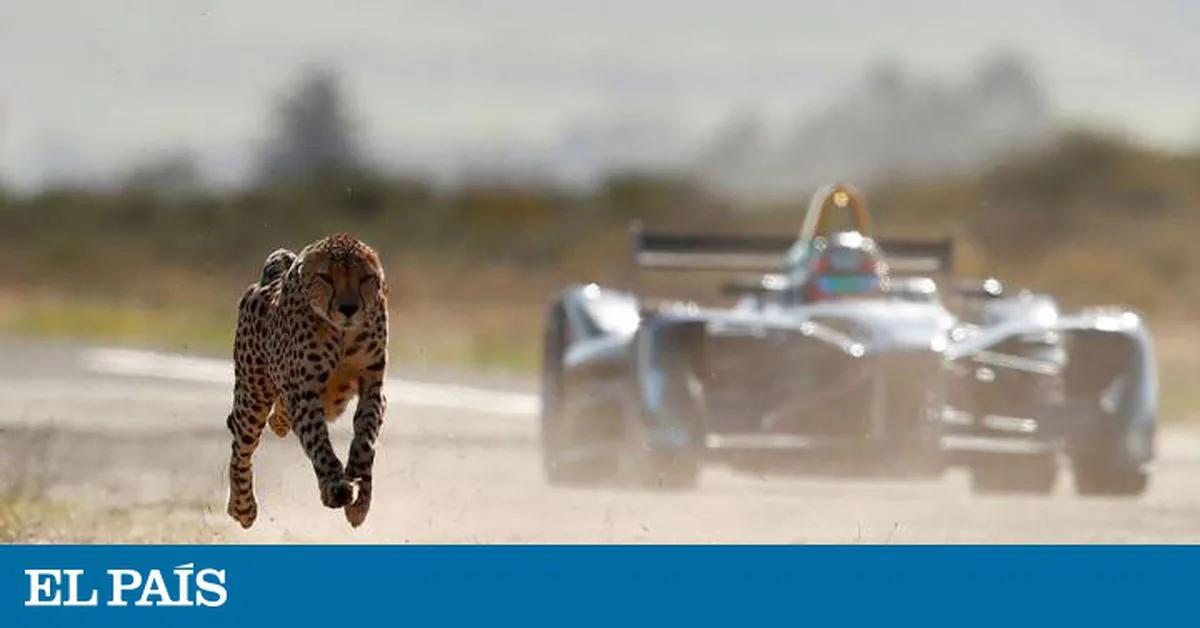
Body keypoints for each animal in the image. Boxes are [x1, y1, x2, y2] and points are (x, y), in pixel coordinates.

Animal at [225, 233, 389, 529]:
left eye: (364, 278)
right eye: (326, 278)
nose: (349, 308)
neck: (342, 334)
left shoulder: (372, 387)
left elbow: (365, 438)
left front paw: (360, 495)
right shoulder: (304, 393)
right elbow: (317, 440)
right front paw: (335, 485)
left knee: (279, 417)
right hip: (253, 396)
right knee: (241, 447)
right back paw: (242, 507)